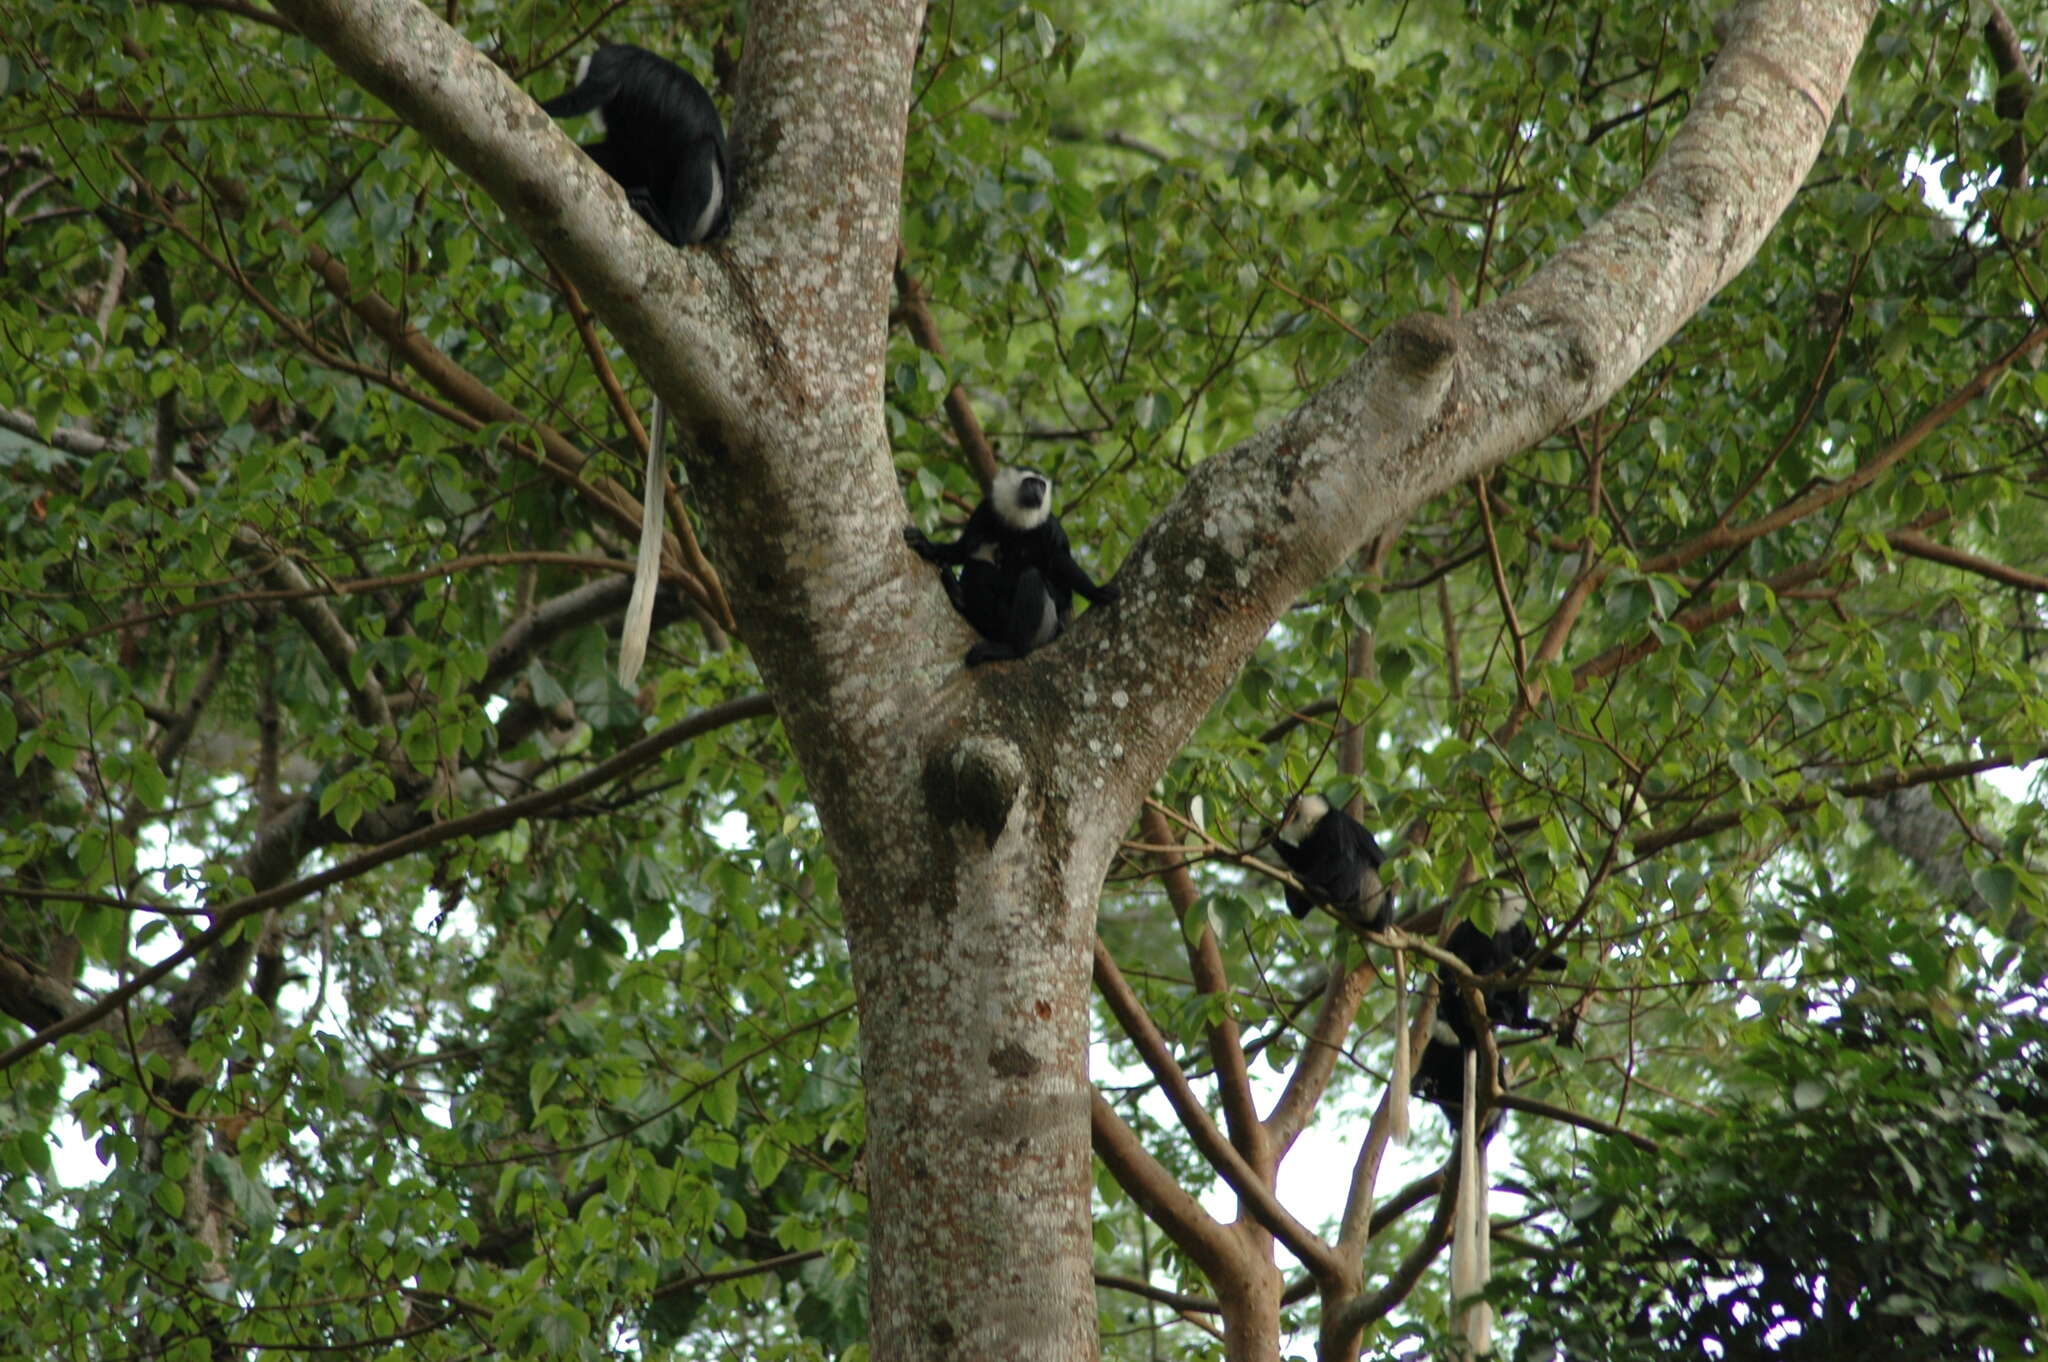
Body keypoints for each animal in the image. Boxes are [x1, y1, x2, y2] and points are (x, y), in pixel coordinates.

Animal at [540, 44, 733, 246]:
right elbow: (624, 152)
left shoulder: (608, 62)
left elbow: (589, 95)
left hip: (708, 211)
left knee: (703, 149)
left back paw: (673, 231)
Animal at [905, 464, 1122, 667]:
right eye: (1030, 482)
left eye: (1042, 485)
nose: (1038, 491)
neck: (1019, 523)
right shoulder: (986, 511)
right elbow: (964, 548)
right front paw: (926, 545)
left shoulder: (1047, 528)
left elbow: (1059, 563)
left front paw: (1097, 592)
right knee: (977, 569)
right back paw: (960, 597)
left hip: (1045, 628)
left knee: (1030, 578)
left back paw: (1011, 649)